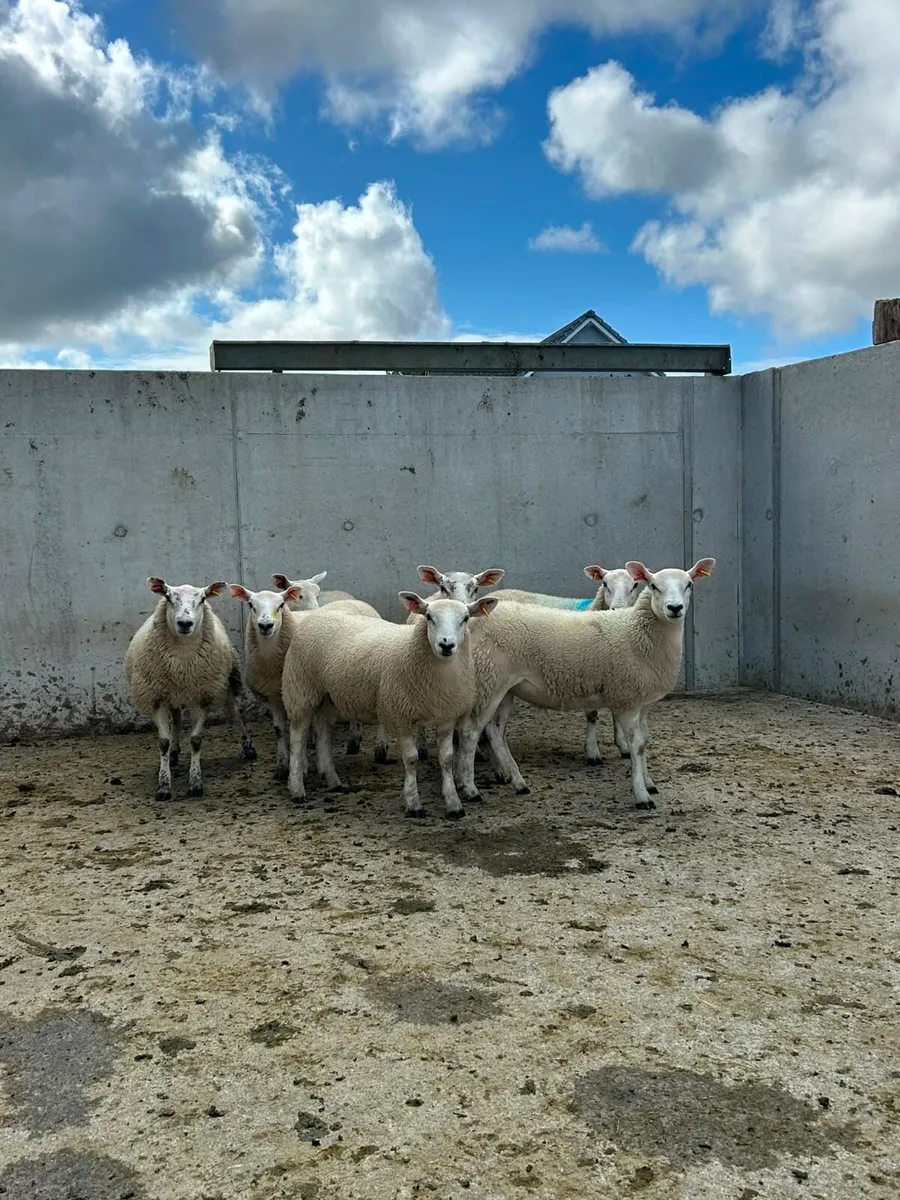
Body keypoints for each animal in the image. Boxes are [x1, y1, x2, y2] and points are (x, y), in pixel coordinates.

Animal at [124, 577, 257, 802]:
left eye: (202, 599)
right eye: (168, 597)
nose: (185, 623)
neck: (183, 660)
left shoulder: (204, 696)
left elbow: (196, 740)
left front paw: (195, 783)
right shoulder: (156, 697)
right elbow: (163, 742)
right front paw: (163, 785)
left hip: (224, 684)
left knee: (235, 713)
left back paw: (248, 747)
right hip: (172, 694)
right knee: (176, 720)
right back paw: (174, 752)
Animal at [282, 592, 499, 817]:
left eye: (465, 618)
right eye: (429, 616)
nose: (446, 645)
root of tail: (317, 615)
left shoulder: (447, 715)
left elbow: (446, 759)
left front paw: (454, 803)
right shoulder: (399, 714)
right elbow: (411, 758)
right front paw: (413, 803)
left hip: (330, 695)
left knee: (323, 729)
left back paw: (332, 780)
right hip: (300, 689)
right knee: (298, 737)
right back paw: (297, 788)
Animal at [455, 558, 716, 811]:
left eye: (689, 585)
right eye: (653, 586)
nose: (675, 608)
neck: (638, 632)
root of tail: (474, 621)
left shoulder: (642, 703)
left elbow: (643, 743)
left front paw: (649, 783)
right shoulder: (628, 700)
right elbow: (635, 745)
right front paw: (641, 795)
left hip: (505, 688)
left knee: (495, 731)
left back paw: (517, 782)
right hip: (488, 681)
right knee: (470, 733)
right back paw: (470, 789)